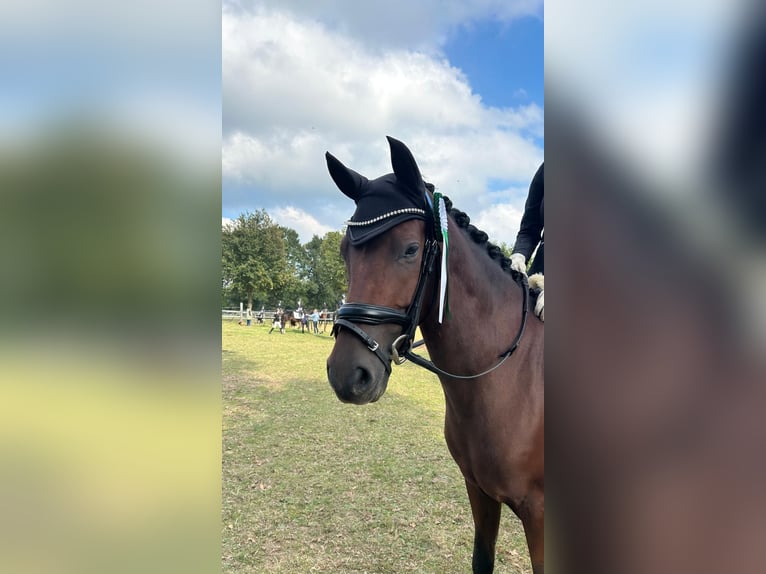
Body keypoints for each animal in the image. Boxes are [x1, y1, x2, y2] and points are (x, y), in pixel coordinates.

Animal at [324, 137, 545, 573]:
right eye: (344, 252)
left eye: (411, 249)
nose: (347, 375)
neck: (510, 377)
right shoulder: (479, 490)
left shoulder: (541, 514)